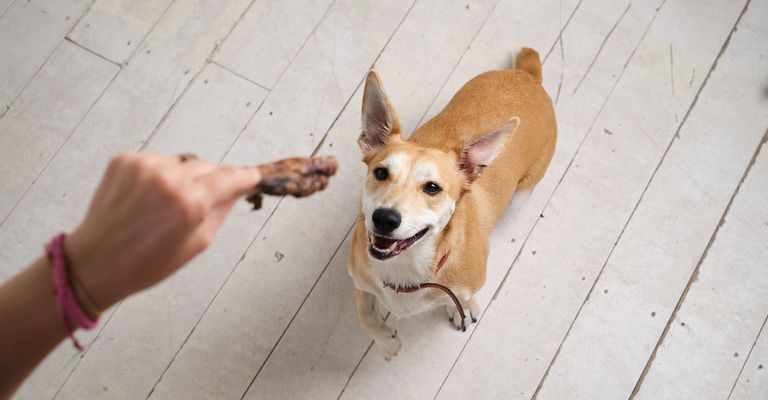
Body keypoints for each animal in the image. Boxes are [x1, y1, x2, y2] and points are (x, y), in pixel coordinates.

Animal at [346, 47, 552, 360]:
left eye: (433, 188)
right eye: (381, 173)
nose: (384, 218)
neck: (408, 265)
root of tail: (527, 77)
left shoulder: (467, 283)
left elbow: (464, 297)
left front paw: (463, 309)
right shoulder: (360, 280)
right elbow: (364, 316)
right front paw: (387, 342)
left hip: (524, 190)